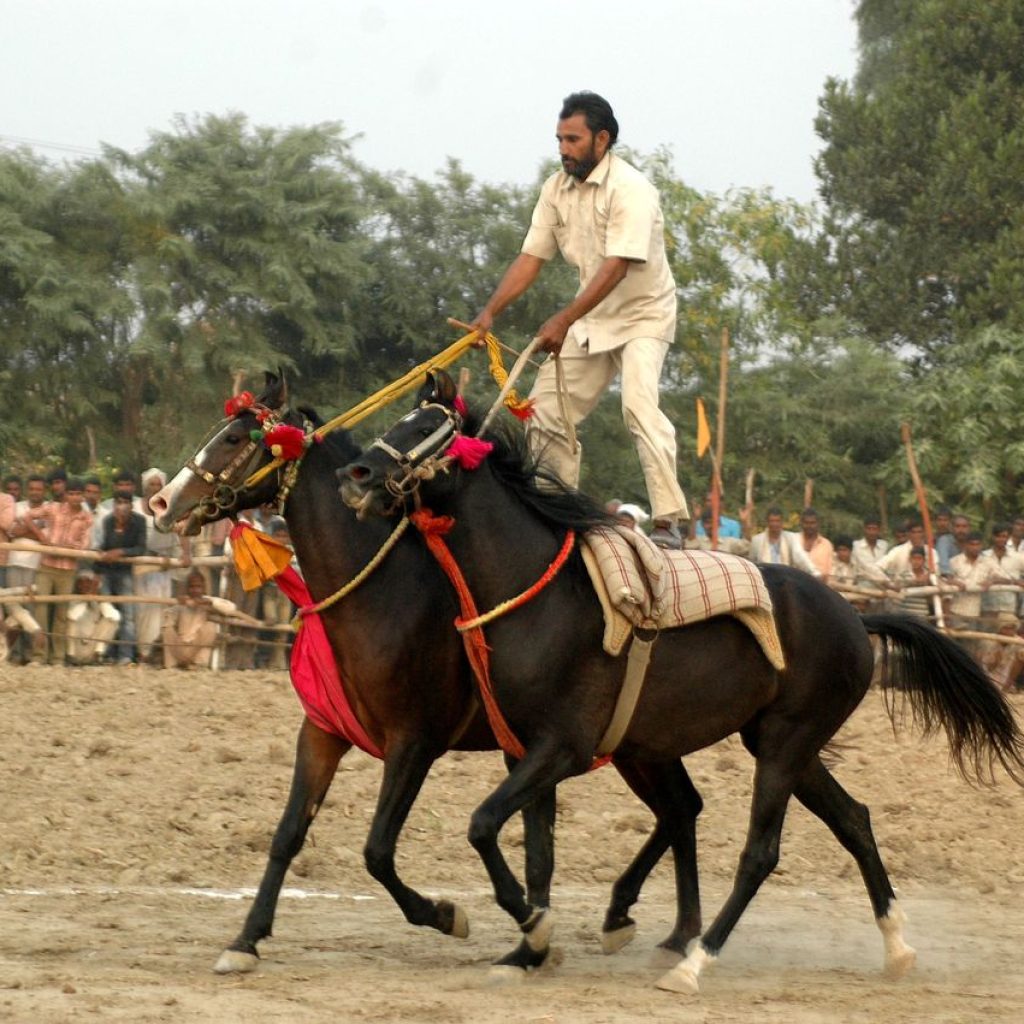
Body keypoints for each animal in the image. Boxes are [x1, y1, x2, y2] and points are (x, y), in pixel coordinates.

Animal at [149, 372, 707, 975]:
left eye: (233, 438)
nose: (162, 501)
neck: (379, 594)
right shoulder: (322, 732)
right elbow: (287, 834)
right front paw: (246, 940)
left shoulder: (414, 742)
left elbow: (377, 851)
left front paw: (446, 914)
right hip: (635, 745)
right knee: (680, 810)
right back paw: (653, 927)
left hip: (631, 743)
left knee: (679, 810)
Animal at [339, 368, 1024, 995]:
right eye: (400, 419)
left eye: (426, 429)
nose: (359, 475)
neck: (537, 593)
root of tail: (856, 616)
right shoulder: (523, 751)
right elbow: (536, 851)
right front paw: (529, 945)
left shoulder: (563, 748)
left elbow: (482, 825)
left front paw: (530, 928)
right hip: (778, 745)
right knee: (852, 819)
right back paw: (896, 946)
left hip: (784, 743)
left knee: (759, 852)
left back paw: (696, 961)